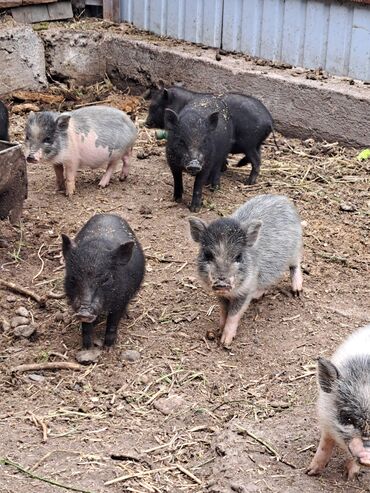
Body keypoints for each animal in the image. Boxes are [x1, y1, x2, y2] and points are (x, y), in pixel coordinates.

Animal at [62, 213, 145, 348]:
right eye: (72, 277)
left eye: (106, 279)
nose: (84, 311)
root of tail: (109, 214)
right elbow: (86, 327)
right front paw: (87, 347)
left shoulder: (120, 300)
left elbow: (113, 322)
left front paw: (108, 347)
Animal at [146, 84, 274, 184]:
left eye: (154, 105)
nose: (146, 123)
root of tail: (269, 120)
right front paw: (224, 167)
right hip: (256, 144)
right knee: (258, 157)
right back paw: (239, 166)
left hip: (249, 144)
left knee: (256, 161)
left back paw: (248, 182)